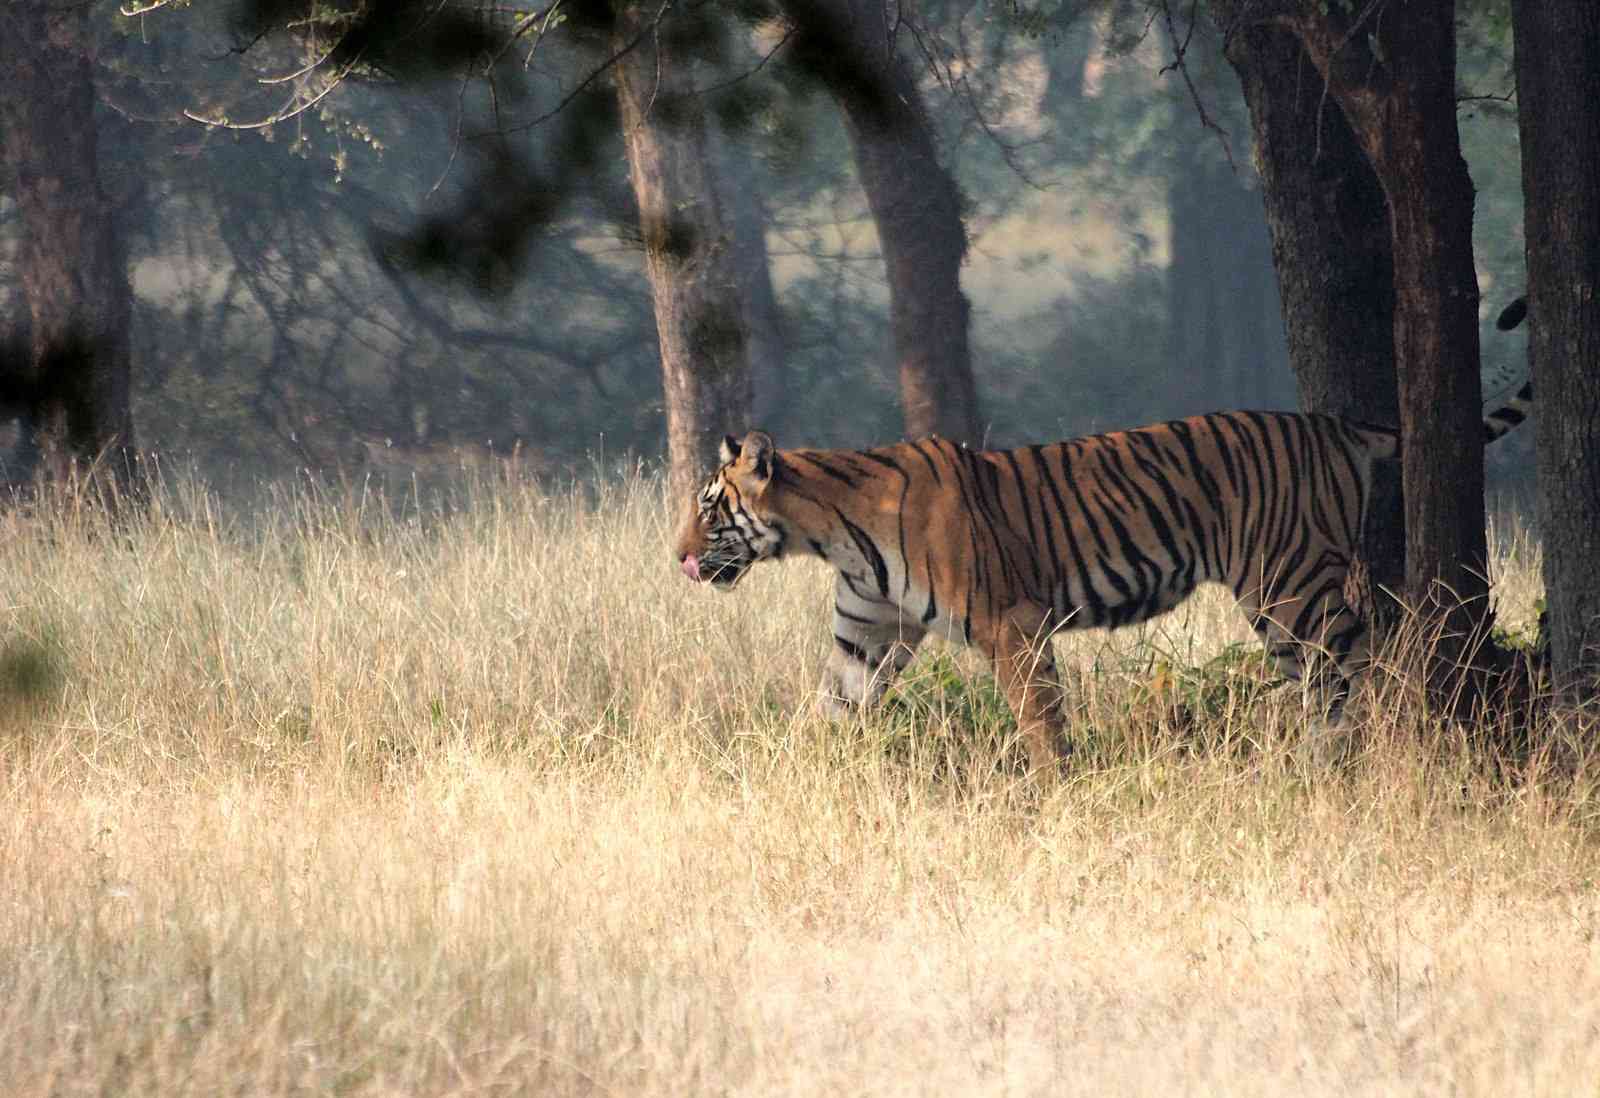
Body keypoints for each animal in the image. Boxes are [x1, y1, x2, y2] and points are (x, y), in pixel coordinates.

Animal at [673, 363, 1534, 774]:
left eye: (710, 507)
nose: (677, 556)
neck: (829, 534)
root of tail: (1334, 423)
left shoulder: (1011, 625)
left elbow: (1040, 723)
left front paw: (1058, 795)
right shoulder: (866, 636)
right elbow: (830, 713)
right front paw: (799, 782)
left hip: (1290, 584)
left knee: (1361, 662)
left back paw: (1379, 752)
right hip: (1283, 605)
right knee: (1323, 682)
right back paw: (1318, 769)